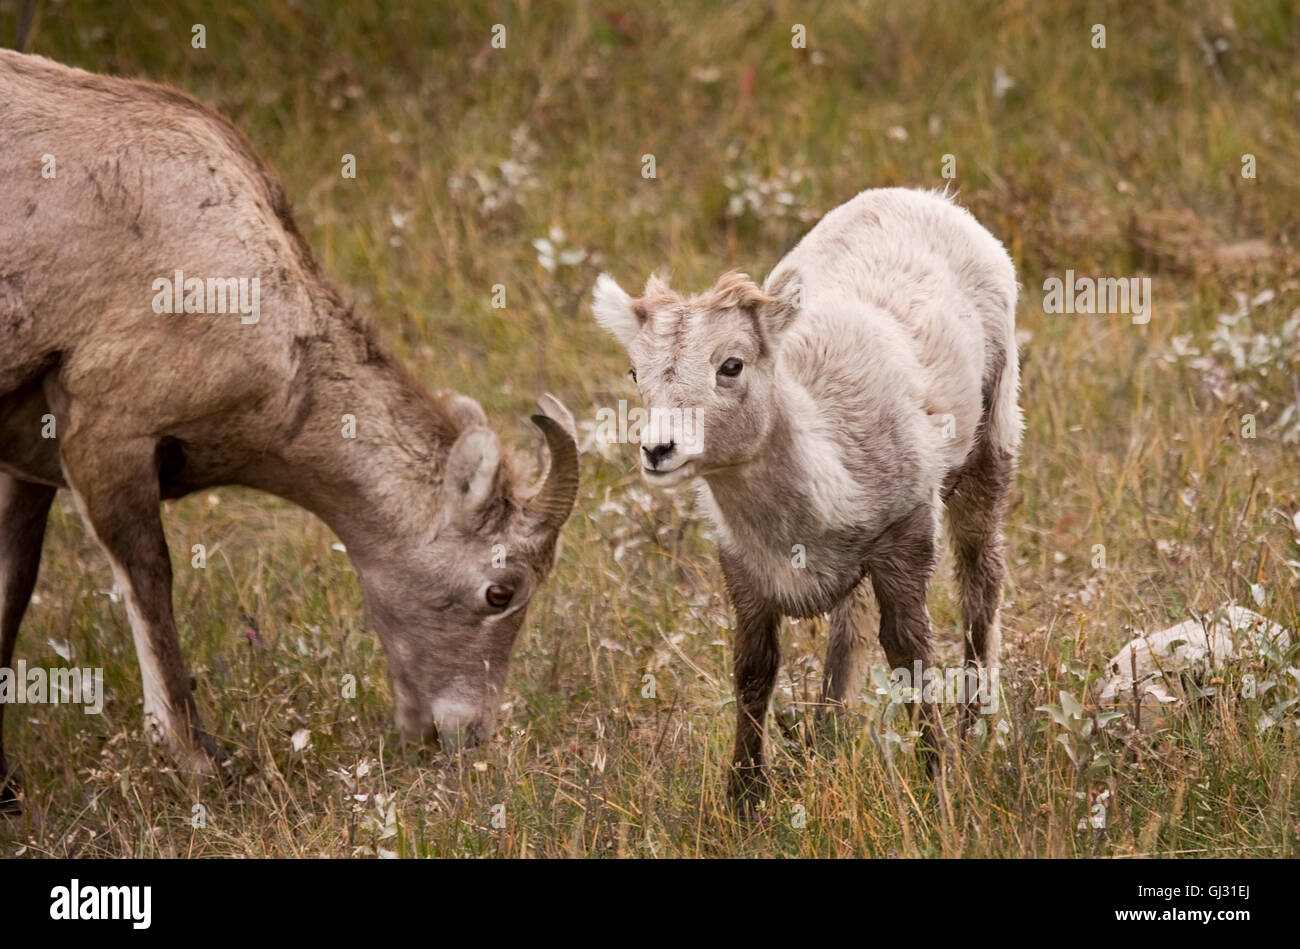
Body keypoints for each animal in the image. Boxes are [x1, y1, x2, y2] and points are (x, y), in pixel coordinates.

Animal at [592, 187, 1021, 807]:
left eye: (731, 364)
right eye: (633, 371)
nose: (658, 449)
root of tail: (926, 197)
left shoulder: (906, 538)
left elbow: (910, 656)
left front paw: (938, 779)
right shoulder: (744, 568)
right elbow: (754, 669)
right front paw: (744, 797)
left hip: (992, 442)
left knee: (980, 584)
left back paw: (976, 727)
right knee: (849, 628)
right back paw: (827, 737)